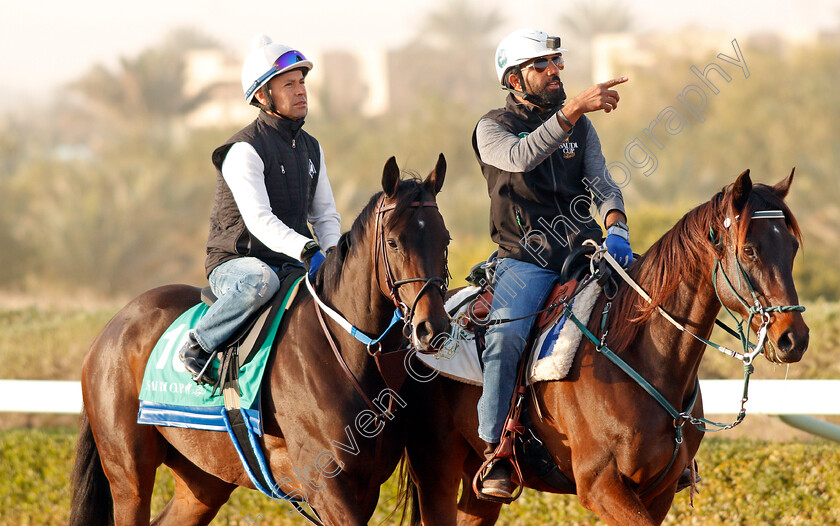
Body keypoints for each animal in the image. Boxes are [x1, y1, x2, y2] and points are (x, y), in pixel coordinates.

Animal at [70, 157, 452, 526]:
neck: (345, 349)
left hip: (203, 476)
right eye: (393, 242)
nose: (431, 328)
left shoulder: (366, 487)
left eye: (445, 239)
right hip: (129, 475)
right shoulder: (327, 485)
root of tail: (111, 328)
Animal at [404, 171, 812, 524]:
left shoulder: (659, 491)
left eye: (793, 247)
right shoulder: (601, 485)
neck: (640, 356)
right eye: (749, 250)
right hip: (437, 469)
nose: (794, 338)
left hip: (479, 492)